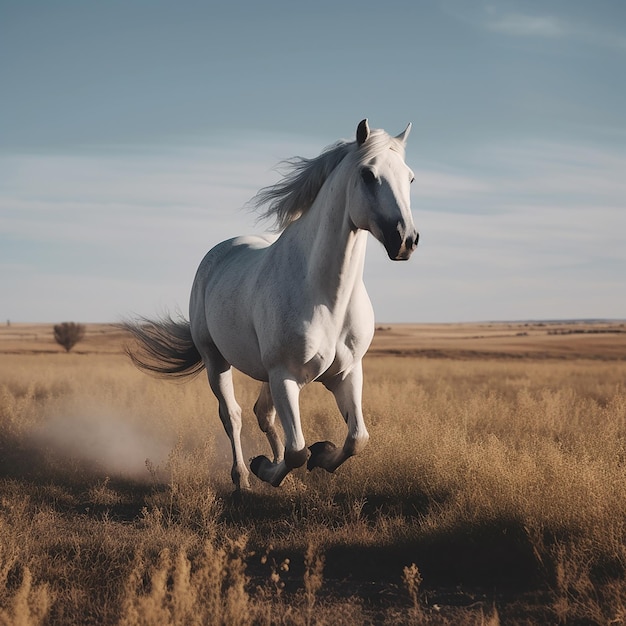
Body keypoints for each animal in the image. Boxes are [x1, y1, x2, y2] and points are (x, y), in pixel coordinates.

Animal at [124, 118, 416, 488]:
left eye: (410, 178)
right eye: (367, 174)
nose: (405, 240)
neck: (326, 297)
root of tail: (221, 250)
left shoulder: (347, 373)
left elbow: (356, 439)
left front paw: (320, 455)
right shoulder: (285, 376)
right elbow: (297, 450)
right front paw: (266, 468)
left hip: (265, 374)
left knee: (263, 414)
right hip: (217, 361)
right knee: (232, 416)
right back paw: (243, 478)